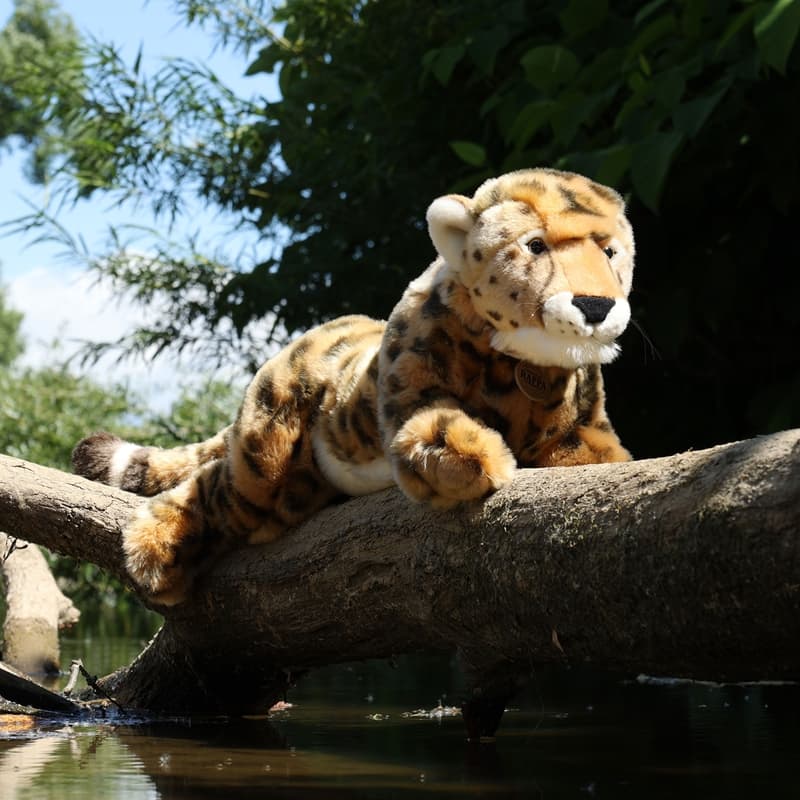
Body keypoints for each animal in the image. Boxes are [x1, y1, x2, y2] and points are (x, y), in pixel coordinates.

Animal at [72, 167, 635, 606]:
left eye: (610, 252)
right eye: (535, 245)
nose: (596, 306)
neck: (528, 362)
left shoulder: (579, 424)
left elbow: (598, 452)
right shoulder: (414, 385)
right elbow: (433, 430)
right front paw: (471, 456)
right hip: (265, 457)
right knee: (216, 488)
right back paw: (156, 553)